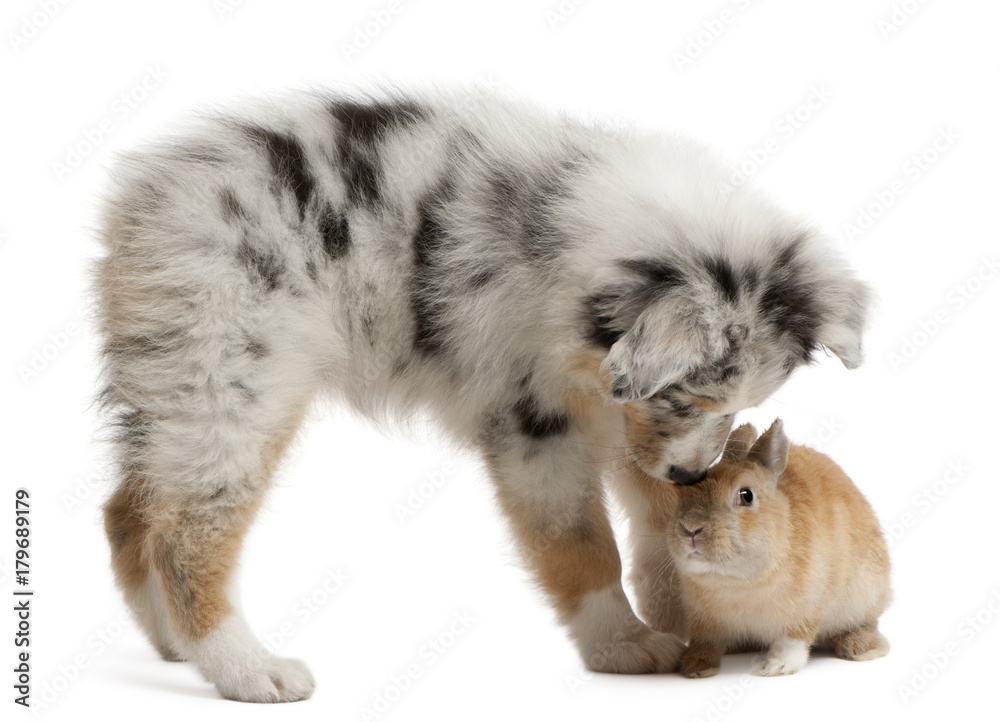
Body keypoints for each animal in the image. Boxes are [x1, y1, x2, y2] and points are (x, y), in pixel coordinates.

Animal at [627, 419, 891, 677]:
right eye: (682, 494)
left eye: (746, 495)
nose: (691, 528)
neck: (735, 579)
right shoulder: (703, 620)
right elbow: (706, 642)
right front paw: (696, 666)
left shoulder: (806, 609)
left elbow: (792, 641)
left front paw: (774, 667)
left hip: (864, 599)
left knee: (868, 624)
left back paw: (856, 647)